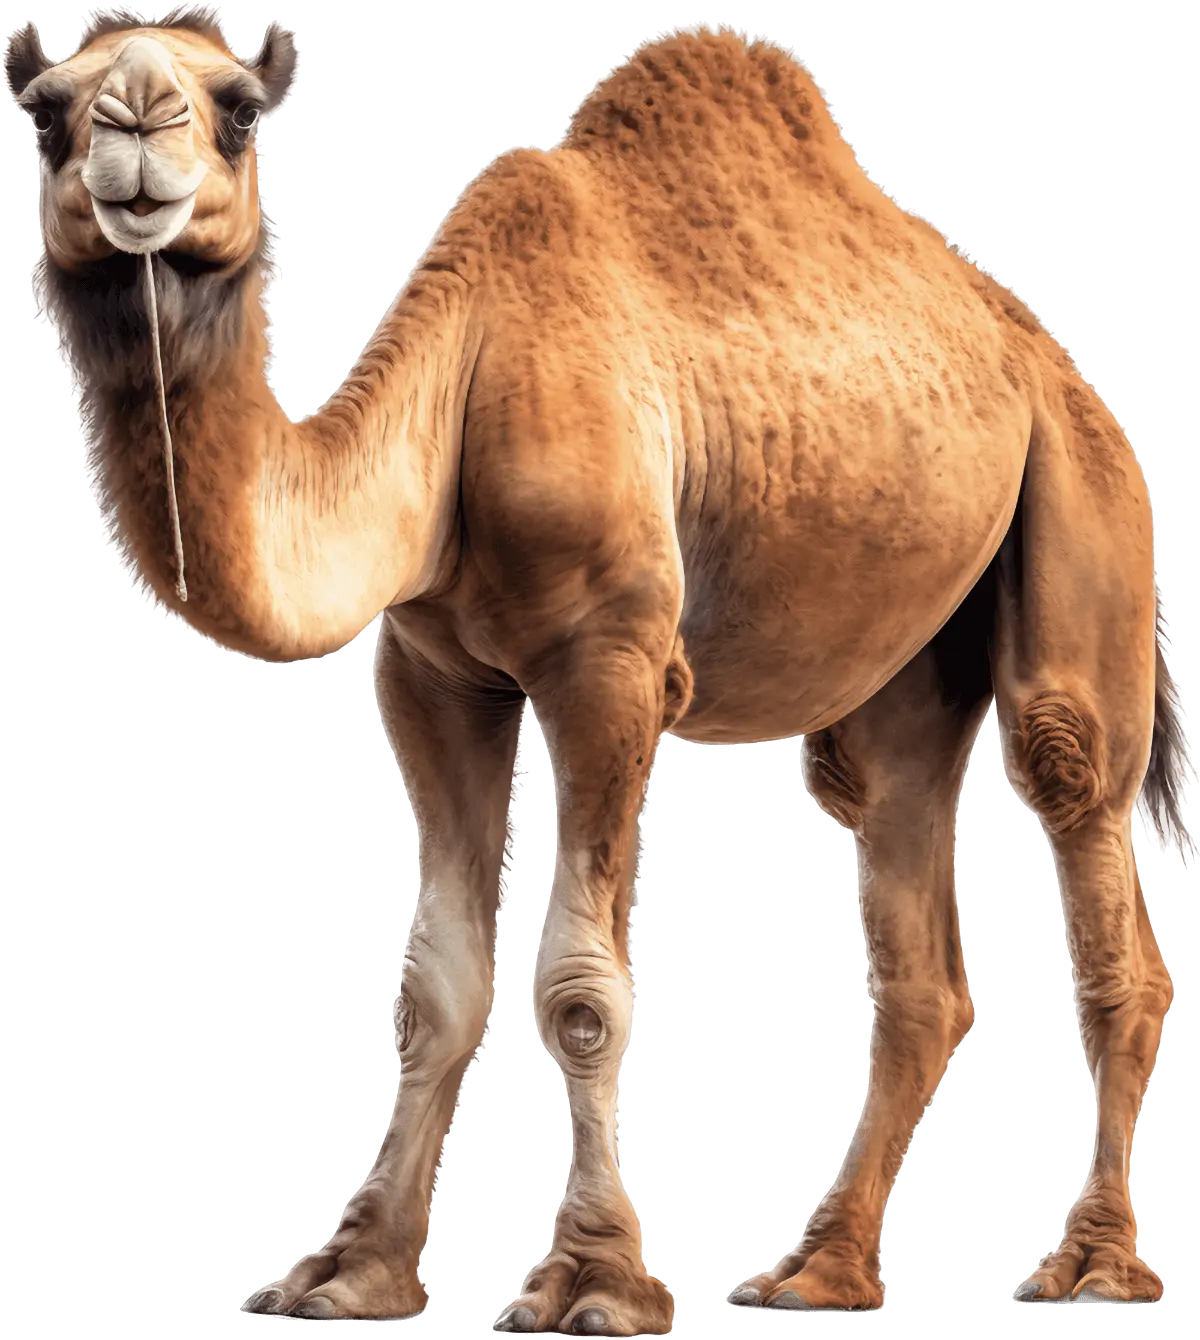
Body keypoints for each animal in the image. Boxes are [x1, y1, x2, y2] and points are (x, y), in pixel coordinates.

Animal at [4, 10, 1186, 1328]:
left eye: (237, 109)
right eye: (44, 108)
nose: (135, 124)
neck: (462, 377)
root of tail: (1061, 368)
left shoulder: (611, 663)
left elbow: (581, 981)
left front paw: (594, 1279)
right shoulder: (433, 675)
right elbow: (436, 985)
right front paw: (353, 1269)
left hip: (1082, 499)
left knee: (1083, 810)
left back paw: (1091, 1263)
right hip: (905, 648)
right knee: (912, 908)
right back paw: (816, 1269)